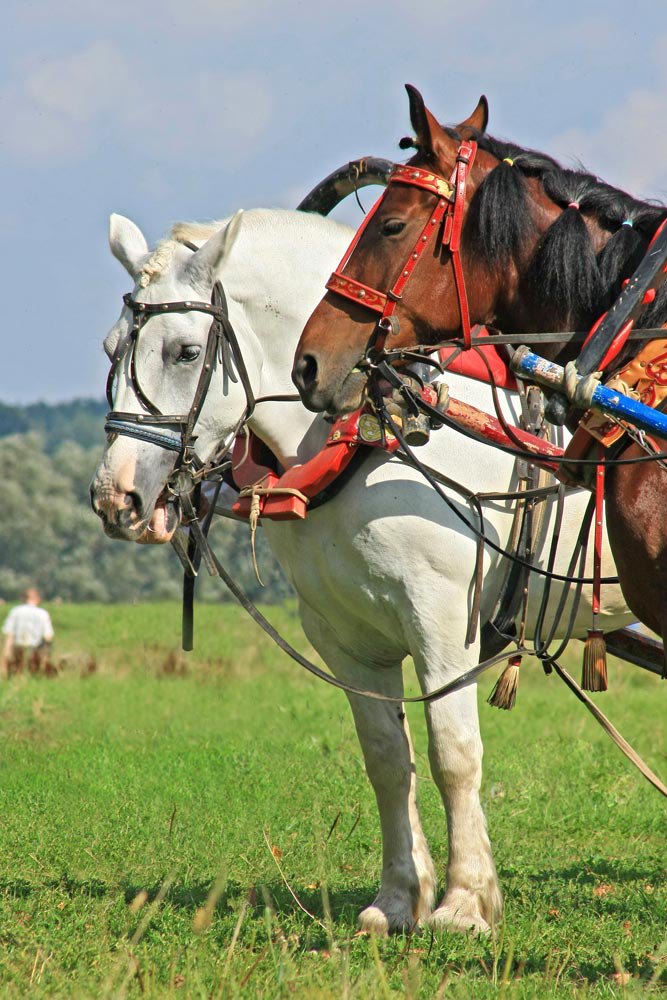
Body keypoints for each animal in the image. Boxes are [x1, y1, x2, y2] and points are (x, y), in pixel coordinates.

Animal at [92, 207, 632, 932]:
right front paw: (400, 898)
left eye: (183, 351)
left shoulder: (442, 620)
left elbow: (453, 755)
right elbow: (386, 761)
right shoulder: (344, 636)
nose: (116, 497)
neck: (369, 433)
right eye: (110, 349)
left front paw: (465, 901)